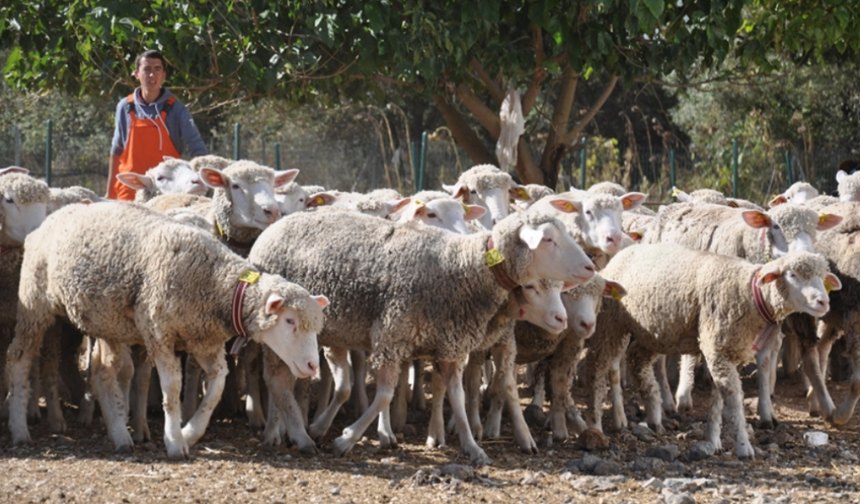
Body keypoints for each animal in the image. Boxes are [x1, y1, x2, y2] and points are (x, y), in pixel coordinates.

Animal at [5, 199, 330, 458]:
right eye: (290, 321)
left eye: (315, 327)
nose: (312, 365)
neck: (218, 286)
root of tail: (48, 220)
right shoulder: (158, 332)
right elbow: (172, 387)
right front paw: (174, 441)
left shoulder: (205, 341)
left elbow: (217, 386)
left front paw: (190, 432)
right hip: (35, 302)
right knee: (19, 358)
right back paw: (19, 429)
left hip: (108, 323)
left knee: (103, 373)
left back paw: (119, 435)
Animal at [250, 202, 596, 464]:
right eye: (548, 240)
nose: (591, 268)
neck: (464, 268)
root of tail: (274, 227)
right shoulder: (391, 336)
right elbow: (385, 394)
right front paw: (346, 439)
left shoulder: (452, 347)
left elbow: (457, 397)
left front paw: (473, 447)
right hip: (281, 332)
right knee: (276, 380)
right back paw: (286, 433)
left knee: (310, 381)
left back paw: (307, 429)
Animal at [584, 246, 840, 458]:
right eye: (792, 275)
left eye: (822, 278)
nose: (823, 302)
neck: (748, 294)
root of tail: (623, 252)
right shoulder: (718, 348)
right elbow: (733, 400)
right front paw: (743, 447)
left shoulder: (727, 351)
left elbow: (718, 400)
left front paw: (713, 440)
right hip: (611, 324)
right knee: (597, 370)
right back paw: (595, 427)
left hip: (656, 333)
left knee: (637, 360)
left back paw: (655, 416)